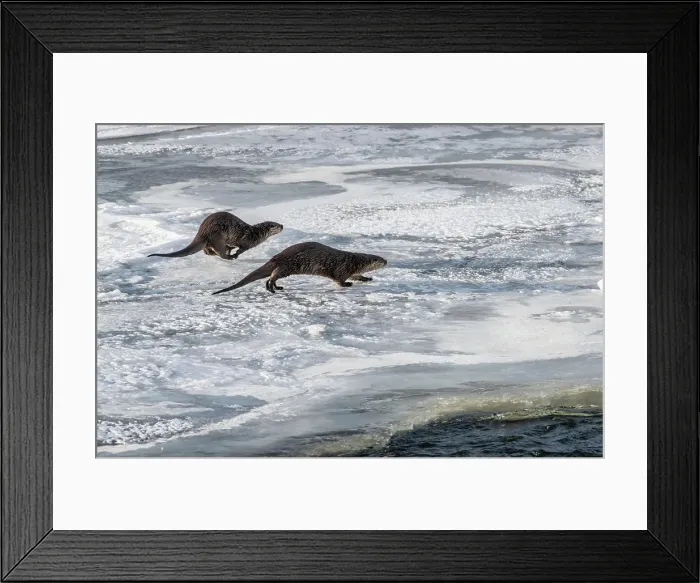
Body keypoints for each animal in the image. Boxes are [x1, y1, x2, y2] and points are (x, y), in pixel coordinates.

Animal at [148, 211, 283, 260]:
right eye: (276, 225)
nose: (282, 225)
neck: (255, 233)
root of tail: (203, 230)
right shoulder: (247, 243)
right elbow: (241, 250)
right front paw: (234, 254)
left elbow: (231, 247)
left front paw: (231, 251)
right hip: (218, 236)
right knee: (219, 252)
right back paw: (228, 257)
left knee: (206, 250)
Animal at [212, 242, 388, 295]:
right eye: (380, 260)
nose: (387, 261)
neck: (353, 261)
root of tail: (276, 256)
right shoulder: (342, 268)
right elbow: (340, 280)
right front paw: (347, 285)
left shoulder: (351, 270)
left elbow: (357, 276)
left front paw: (367, 278)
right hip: (288, 266)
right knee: (274, 274)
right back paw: (273, 286)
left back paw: (275, 287)